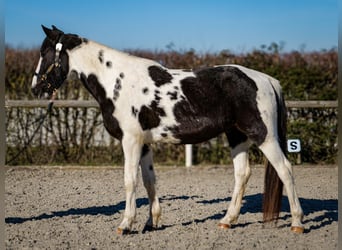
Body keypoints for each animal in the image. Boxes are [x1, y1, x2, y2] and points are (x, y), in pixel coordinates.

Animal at [31, 25, 304, 234]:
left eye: (45, 52)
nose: (35, 88)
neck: (117, 81)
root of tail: (267, 80)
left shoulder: (130, 141)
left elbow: (130, 181)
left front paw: (126, 224)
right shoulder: (144, 143)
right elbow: (149, 181)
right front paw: (151, 222)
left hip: (264, 136)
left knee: (285, 170)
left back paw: (297, 223)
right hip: (237, 136)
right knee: (242, 174)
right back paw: (227, 221)